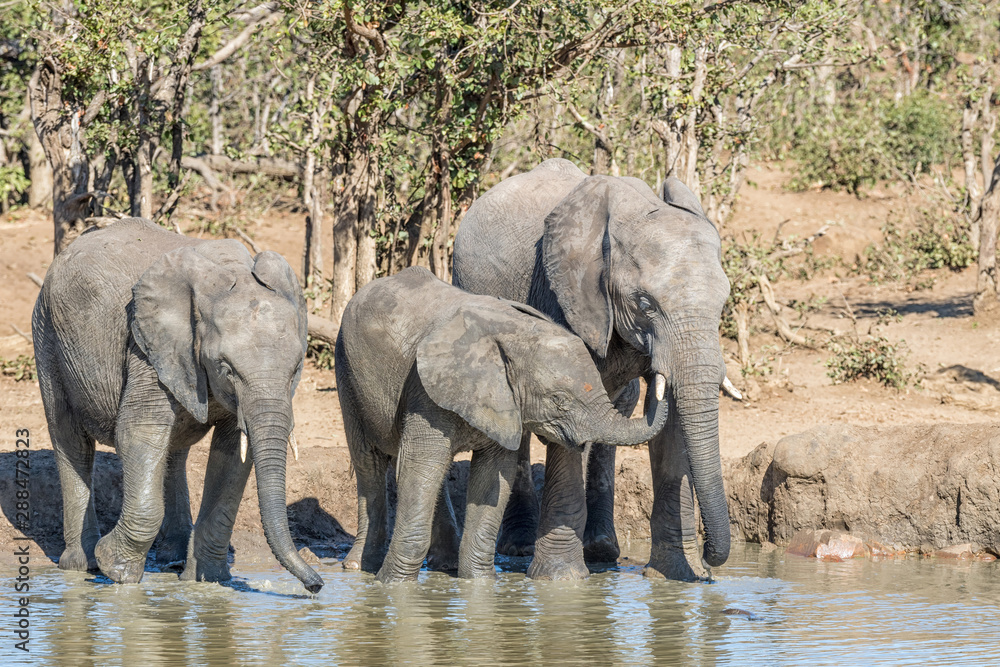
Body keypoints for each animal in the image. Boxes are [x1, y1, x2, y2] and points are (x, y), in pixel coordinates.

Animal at [32, 217, 323, 593]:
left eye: (295, 369)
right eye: (226, 369)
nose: (316, 586)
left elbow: (234, 455)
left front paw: (208, 581)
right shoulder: (146, 347)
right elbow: (139, 433)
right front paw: (117, 571)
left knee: (173, 448)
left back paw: (172, 560)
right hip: (48, 332)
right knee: (70, 438)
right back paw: (82, 565)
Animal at [335, 266, 667, 582]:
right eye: (559, 399)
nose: (656, 371)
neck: (515, 336)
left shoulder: (504, 403)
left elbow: (492, 480)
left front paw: (479, 584)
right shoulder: (424, 390)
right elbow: (419, 469)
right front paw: (392, 585)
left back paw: (444, 564)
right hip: (347, 371)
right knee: (370, 465)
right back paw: (359, 567)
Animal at [450, 158, 733, 581]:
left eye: (723, 302)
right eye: (646, 304)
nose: (713, 564)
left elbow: (672, 431)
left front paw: (679, 577)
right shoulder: (561, 293)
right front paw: (560, 580)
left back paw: (601, 551)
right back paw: (520, 547)